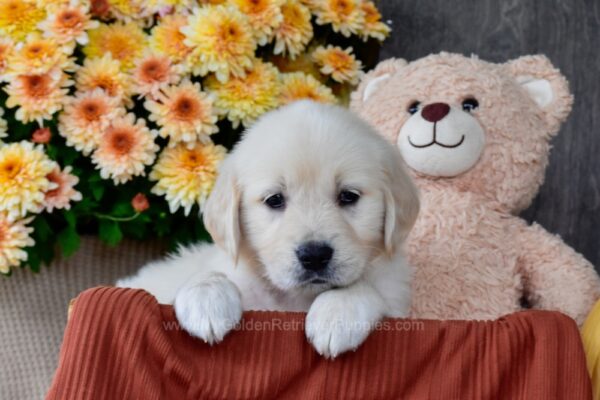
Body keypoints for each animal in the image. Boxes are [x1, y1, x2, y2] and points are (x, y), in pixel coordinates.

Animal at [116, 101, 418, 358]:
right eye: (274, 200)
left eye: (348, 196)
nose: (314, 256)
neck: (295, 299)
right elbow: (207, 276)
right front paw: (205, 299)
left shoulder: (397, 300)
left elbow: (364, 288)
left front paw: (337, 313)